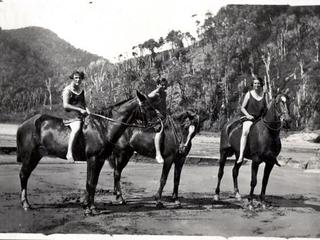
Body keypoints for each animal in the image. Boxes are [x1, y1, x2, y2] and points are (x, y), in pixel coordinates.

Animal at [16, 90, 158, 216]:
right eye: (147, 107)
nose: (158, 125)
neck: (103, 127)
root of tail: (25, 123)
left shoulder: (100, 160)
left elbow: (93, 183)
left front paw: (91, 207)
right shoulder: (93, 159)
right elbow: (90, 183)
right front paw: (88, 209)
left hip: (36, 156)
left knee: (25, 175)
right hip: (30, 156)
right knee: (23, 175)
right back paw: (25, 204)